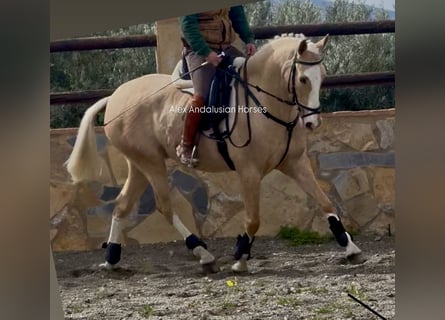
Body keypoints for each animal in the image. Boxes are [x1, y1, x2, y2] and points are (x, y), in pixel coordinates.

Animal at [67, 33, 364, 272]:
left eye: (323, 76)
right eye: (302, 79)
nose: (313, 122)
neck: (265, 104)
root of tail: (116, 96)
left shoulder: (296, 164)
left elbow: (326, 203)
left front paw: (351, 249)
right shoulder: (249, 172)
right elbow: (253, 220)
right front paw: (240, 259)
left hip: (139, 164)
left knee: (122, 205)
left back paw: (112, 259)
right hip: (150, 163)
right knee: (163, 205)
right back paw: (203, 254)